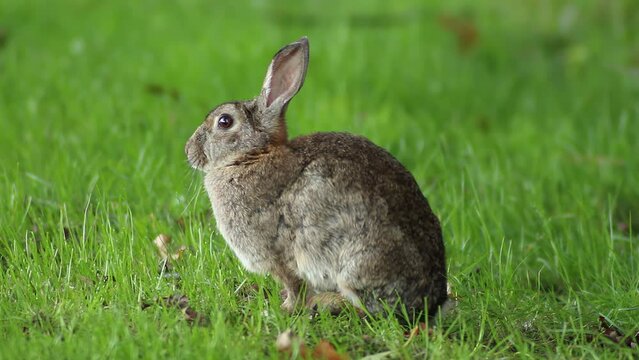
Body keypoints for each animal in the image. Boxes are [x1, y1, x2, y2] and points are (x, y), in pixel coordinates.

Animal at [182, 35, 448, 318]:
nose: (188, 151)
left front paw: (284, 309)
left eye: (224, 121)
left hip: (355, 261)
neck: (254, 155)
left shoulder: (281, 256)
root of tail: (431, 299)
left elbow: (293, 285)